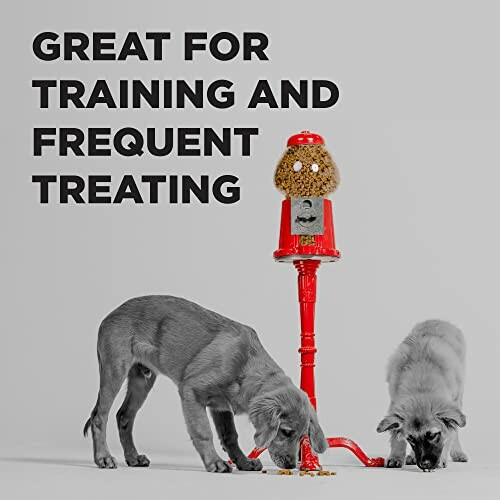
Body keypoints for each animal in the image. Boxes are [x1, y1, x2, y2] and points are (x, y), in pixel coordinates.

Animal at [84, 296, 326, 472]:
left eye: (302, 437)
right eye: (286, 432)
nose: (291, 465)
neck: (245, 364)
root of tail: (111, 314)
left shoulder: (221, 406)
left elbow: (230, 436)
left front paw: (243, 462)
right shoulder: (191, 391)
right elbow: (203, 432)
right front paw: (214, 462)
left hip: (142, 379)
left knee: (124, 416)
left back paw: (133, 457)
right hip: (114, 371)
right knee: (100, 416)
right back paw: (103, 458)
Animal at [378, 320, 468, 472]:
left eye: (432, 435)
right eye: (411, 438)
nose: (424, 464)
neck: (421, 388)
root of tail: (438, 320)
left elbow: (449, 435)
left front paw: (442, 459)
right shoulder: (395, 403)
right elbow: (396, 436)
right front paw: (396, 457)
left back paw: (458, 453)